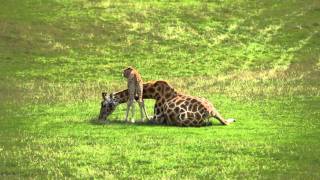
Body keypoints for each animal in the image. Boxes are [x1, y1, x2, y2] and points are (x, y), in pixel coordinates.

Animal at [99, 80, 236, 126]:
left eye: (104, 104)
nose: (100, 118)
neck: (154, 93)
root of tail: (211, 111)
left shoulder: (157, 118)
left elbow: (144, 119)